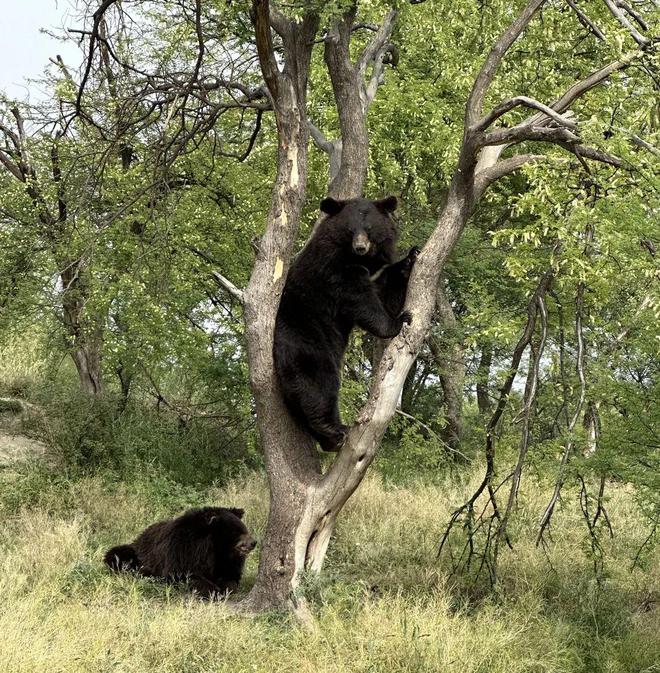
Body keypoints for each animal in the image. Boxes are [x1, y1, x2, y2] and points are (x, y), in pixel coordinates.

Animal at [104, 506, 256, 596]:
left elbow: (231, 577)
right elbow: (183, 575)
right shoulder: (181, 552)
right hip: (137, 554)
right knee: (117, 555)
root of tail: (141, 535)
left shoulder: (226, 562)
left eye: (244, 528)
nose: (253, 543)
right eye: (236, 531)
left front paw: (224, 587)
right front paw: (213, 589)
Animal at [274, 194, 418, 452]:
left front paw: (410, 258)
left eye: (369, 229)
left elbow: (387, 289)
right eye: (350, 230)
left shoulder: (375, 271)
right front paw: (399, 321)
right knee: (317, 383)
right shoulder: (334, 270)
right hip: (306, 337)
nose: (360, 247)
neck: (362, 261)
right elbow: (362, 301)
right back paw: (334, 431)